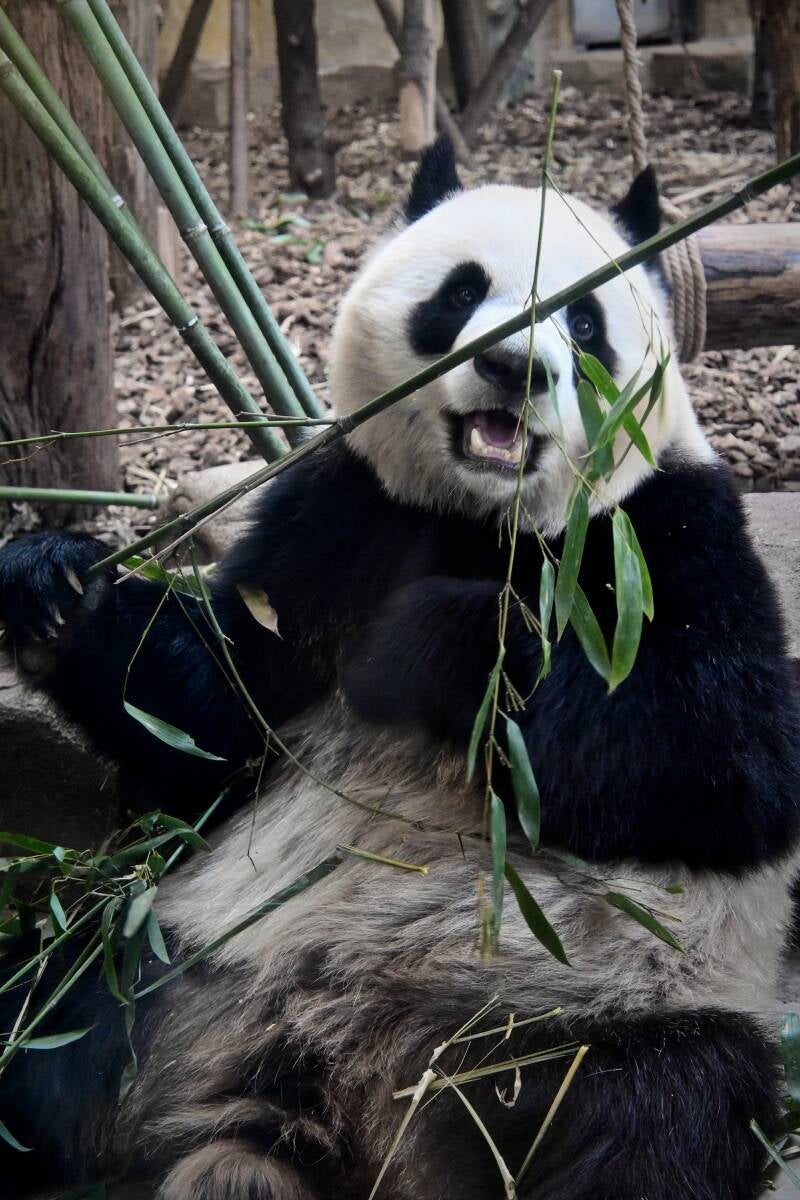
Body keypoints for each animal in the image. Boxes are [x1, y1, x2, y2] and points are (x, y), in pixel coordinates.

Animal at [0, 136, 799, 1200]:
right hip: (173, 957)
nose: (513, 366)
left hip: (589, 1016)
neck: (483, 520)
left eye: (585, 320)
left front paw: (420, 646)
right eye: (462, 293)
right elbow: (217, 707)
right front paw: (53, 584)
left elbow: (722, 763)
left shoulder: (668, 533)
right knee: (45, 1018)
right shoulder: (342, 512)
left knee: (657, 1123)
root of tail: (324, 1094)